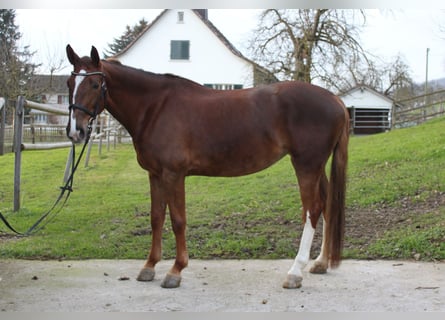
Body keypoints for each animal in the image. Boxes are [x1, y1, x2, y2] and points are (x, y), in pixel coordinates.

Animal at [66, 45, 348, 290]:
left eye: (94, 84)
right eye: (70, 83)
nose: (75, 131)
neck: (155, 107)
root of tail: (335, 100)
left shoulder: (174, 174)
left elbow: (178, 220)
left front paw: (176, 271)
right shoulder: (155, 174)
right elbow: (156, 218)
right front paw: (149, 267)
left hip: (306, 165)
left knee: (312, 210)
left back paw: (295, 273)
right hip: (317, 167)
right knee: (327, 205)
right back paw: (320, 263)